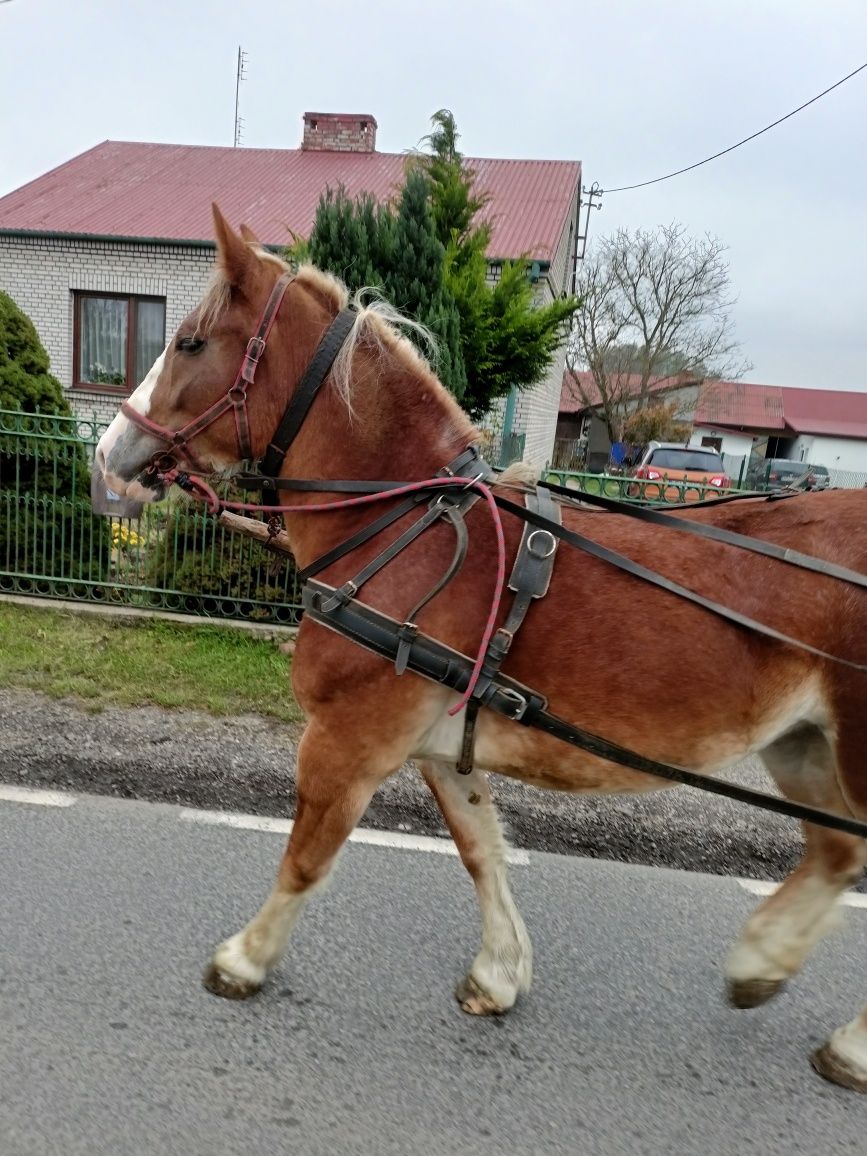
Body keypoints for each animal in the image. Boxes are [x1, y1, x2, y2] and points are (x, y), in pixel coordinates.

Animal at [96, 208, 867, 1091]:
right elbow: (480, 851)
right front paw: (498, 974)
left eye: (190, 343)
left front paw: (245, 959)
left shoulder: (346, 742)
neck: (407, 525)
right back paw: (760, 963)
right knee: (837, 851)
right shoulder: (439, 745)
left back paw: (847, 1040)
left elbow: (307, 858)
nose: (109, 453)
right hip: (803, 745)